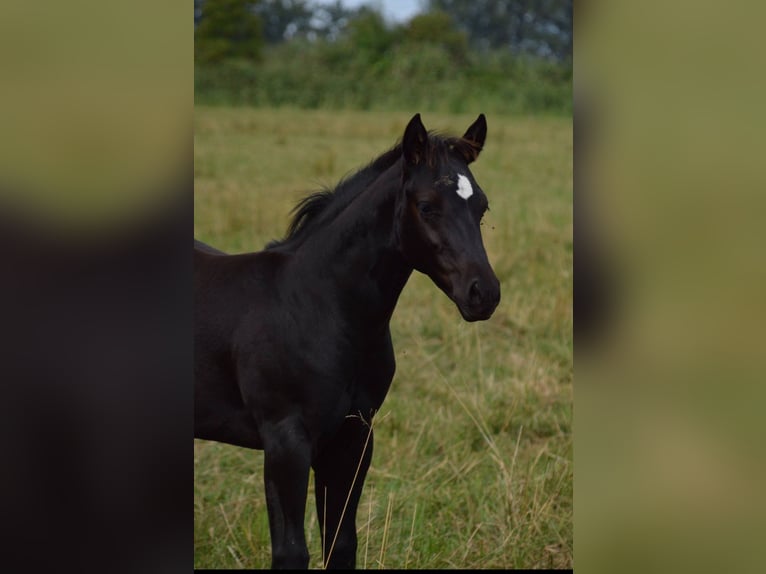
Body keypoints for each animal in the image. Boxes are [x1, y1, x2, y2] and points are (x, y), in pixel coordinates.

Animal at [194, 113, 500, 569]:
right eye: (427, 205)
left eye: (480, 206)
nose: (484, 294)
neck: (318, 306)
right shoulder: (285, 442)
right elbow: (291, 552)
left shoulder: (353, 437)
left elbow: (340, 543)